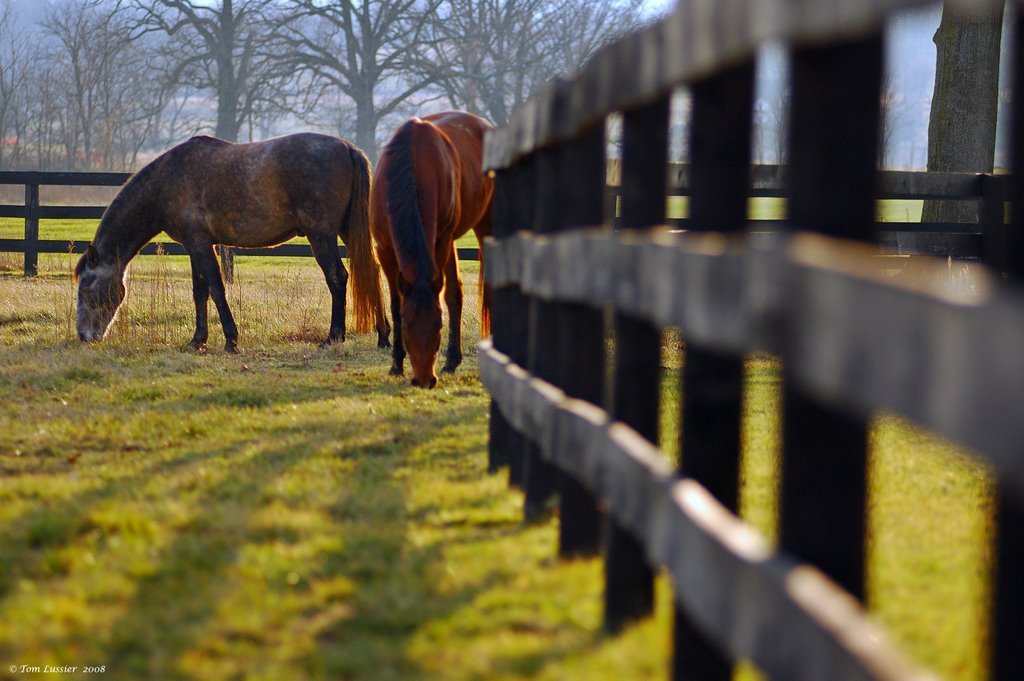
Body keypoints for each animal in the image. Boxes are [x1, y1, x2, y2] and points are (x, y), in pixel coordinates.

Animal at [71, 133, 385, 350]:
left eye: (86, 288)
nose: (84, 336)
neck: (168, 181)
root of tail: (347, 147)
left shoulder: (200, 244)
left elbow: (216, 288)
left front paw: (231, 340)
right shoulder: (195, 246)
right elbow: (200, 292)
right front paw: (197, 340)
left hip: (321, 235)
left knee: (337, 277)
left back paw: (334, 337)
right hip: (346, 231)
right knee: (370, 272)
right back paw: (384, 336)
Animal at [370, 111, 493, 387]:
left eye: (438, 326)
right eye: (407, 327)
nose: (425, 380)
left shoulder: (440, 242)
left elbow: (446, 297)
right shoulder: (385, 250)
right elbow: (395, 303)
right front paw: (396, 365)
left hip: (483, 225)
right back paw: (451, 361)